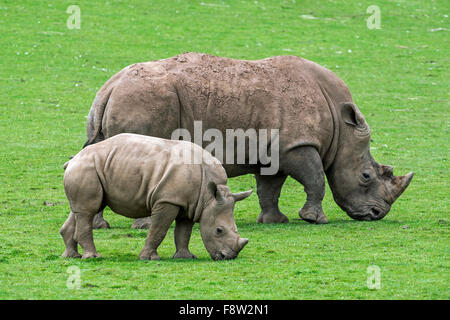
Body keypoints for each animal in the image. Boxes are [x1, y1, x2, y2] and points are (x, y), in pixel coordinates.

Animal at [60, 132, 251, 260]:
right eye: (219, 230)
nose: (229, 257)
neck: (208, 196)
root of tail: (73, 159)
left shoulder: (190, 203)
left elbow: (184, 231)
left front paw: (185, 257)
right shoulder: (168, 200)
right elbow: (159, 229)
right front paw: (148, 258)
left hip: (93, 168)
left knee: (82, 209)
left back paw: (71, 256)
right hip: (87, 167)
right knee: (88, 211)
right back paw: (93, 257)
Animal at [82, 52, 414, 228]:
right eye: (366, 175)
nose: (377, 214)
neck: (341, 128)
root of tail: (109, 87)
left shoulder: (275, 152)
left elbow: (270, 188)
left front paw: (275, 221)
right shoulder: (297, 145)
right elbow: (316, 178)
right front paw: (314, 220)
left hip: (118, 102)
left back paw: (100, 226)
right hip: (143, 100)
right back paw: (145, 226)